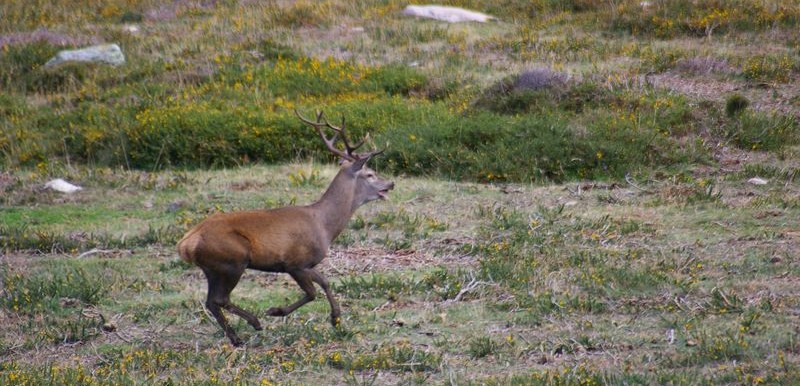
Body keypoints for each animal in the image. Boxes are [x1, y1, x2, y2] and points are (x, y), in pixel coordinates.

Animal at [178, 109, 396, 346]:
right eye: (370, 174)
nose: (391, 183)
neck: (324, 225)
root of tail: (186, 243)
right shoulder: (295, 262)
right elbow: (312, 292)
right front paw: (276, 311)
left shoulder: (307, 263)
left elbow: (325, 282)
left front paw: (336, 319)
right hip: (233, 261)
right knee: (220, 298)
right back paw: (254, 323)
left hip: (212, 268)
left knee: (211, 301)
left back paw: (236, 338)